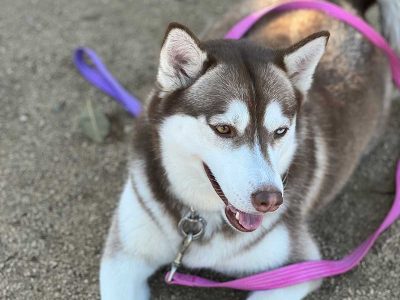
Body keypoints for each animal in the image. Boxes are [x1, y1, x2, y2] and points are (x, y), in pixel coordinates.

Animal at [100, 0, 400, 300]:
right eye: (223, 129)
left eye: (280, 131)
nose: (270, 201)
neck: (201, 217)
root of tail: (345, 6)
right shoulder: (122, 259)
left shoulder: (299, 267)